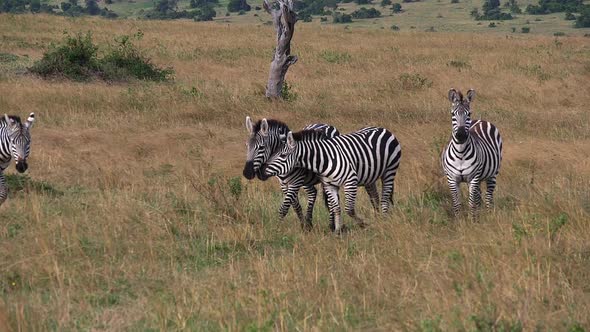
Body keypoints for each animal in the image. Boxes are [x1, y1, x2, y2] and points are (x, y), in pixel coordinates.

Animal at [262, 126, 402, 232]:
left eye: (283, 155)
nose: (262, 172)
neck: (325, 160)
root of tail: (383, 129)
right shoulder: (329, 185)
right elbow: (336, 208)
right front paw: (338, 230)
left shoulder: (350, 181)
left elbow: (349, 209)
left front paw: (363, 224)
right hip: (369, 176)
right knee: (374, 196)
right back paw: (378, 218)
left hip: (390, 170)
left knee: (385, 198)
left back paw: (384, 220)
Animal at [444, 88, 504, 218]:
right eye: (452, 114)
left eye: (469, 114)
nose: (461, 135)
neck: (460, 152)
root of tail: (481, 120)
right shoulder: (452, 179)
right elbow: (457, 204)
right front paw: (459, 220)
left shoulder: (474, 178)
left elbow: (472, 203)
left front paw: (473, 220)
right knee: (479, 196)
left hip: (492, 174)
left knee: (488, 197)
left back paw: (488, 215)